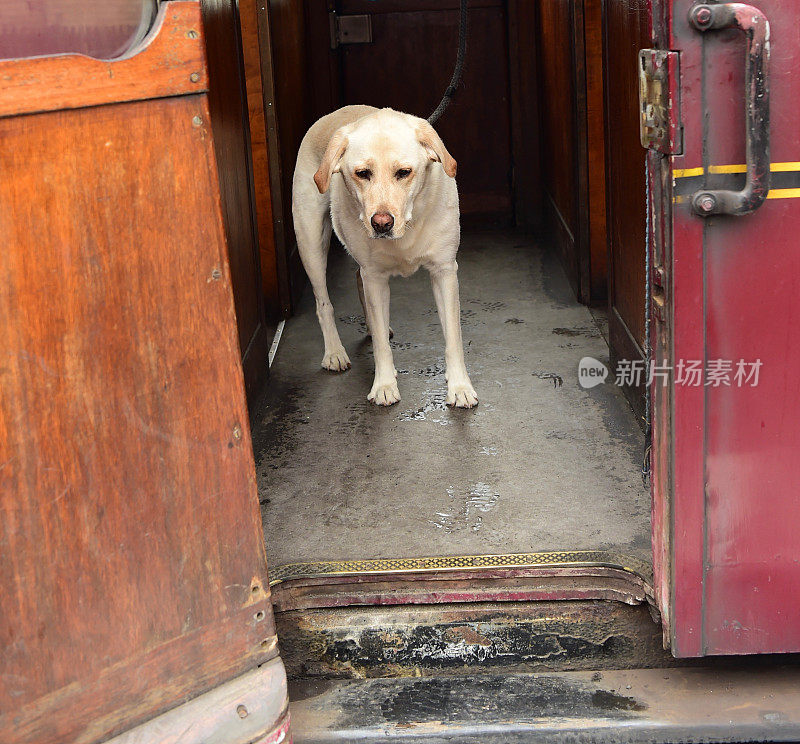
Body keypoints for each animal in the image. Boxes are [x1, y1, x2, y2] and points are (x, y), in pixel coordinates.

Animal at [296, 103, 478, 406]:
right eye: (362, 173)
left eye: (404, 172)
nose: (381, 223)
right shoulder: (376, 278)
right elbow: (381, 345)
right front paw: (383, 385)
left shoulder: (444, 272)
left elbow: (453, 337)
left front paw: (460, 387)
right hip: (310, 242)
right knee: (323, 303)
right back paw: (334, 352)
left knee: (358, 281)